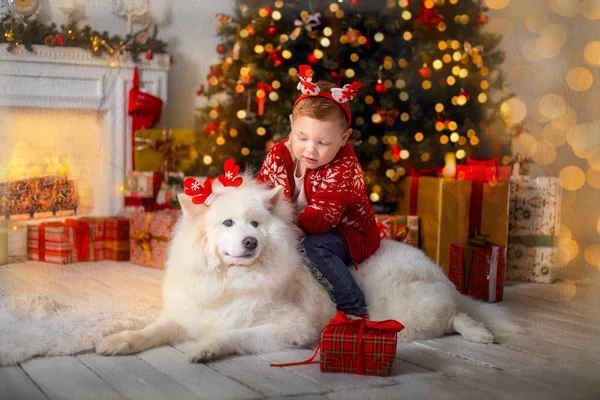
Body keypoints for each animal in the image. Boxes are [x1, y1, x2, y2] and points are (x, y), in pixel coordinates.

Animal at [97, 175, 502, 362]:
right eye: (227, 223)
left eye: (255, 224)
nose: (251, 242)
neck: (233, 282)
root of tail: (441, 275)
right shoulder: (187, 314)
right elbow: (151, 331)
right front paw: (118, 341)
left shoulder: (291, 326)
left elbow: (233, 334)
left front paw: (207, 348)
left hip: (408, 309)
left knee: (453, 317)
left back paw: (481, 333)